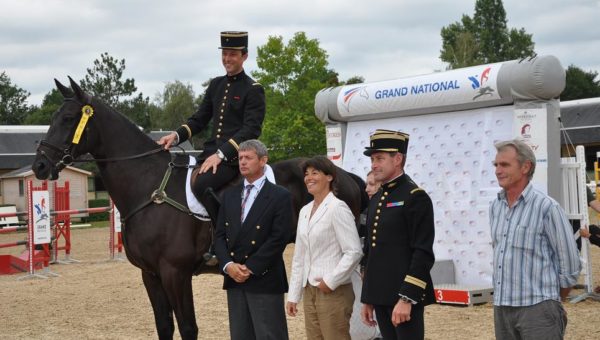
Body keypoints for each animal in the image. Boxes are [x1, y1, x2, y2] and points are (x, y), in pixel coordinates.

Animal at [31, 77, 366, 340]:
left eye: (69, 118)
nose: (40, 165)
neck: (149, 187)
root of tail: (345, 176)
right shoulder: (150, 275)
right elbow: (165, 326)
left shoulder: (175, 273)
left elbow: (188, 328)